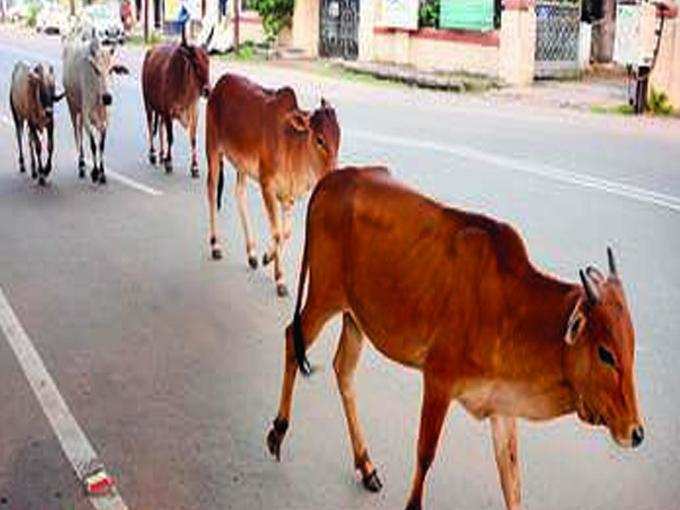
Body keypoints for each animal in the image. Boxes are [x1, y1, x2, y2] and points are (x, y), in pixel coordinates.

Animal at [63, 31, 129, 184]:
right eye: (96, 70)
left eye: (112, 70)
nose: (108, 97)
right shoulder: (87, 116)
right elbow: (93, 144)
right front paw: (95, 172)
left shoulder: (106, 120)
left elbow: (101, 145)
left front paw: (102, 173)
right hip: (72, 107)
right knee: (78, 134)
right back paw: (81, 165)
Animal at [139, 26, 211, 177]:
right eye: (195, 64)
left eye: (208, 62)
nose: (207, 90)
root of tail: (151, 51)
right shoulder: (168, 111)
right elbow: (171, 137)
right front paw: (169, 162)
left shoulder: (194, 112)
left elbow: (193, 139)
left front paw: (194, 167)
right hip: (148, 104)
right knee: (150, 125)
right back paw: (153, 154)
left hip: (160, 110)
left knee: (160, 127)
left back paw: (162, 154)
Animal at [202, 71, 340, 294]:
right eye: (320, 140)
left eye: (339, 138)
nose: (333, 173)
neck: (291, 144)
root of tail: (218, 86)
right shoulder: (267, 185)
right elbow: (276, 233)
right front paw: (271, 263)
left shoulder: (288, 196)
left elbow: (285, 233)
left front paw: (275, 271)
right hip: (213, 149)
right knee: (212, 192)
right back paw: (216, 245)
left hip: (242, 165)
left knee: (239, 195)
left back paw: (251, 253)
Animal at [268, 167, 644, 510]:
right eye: (606, 353)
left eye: (631, 349)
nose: (637, 432)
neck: (510, 310)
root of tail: (335, 177)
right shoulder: (438, 380)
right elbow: (425, 454)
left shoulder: (502, 405)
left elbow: (512, 480)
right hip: (324, 296)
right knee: (291, 339)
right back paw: (278, 431)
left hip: (354, 317)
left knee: (343, 370)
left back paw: (366, 464)